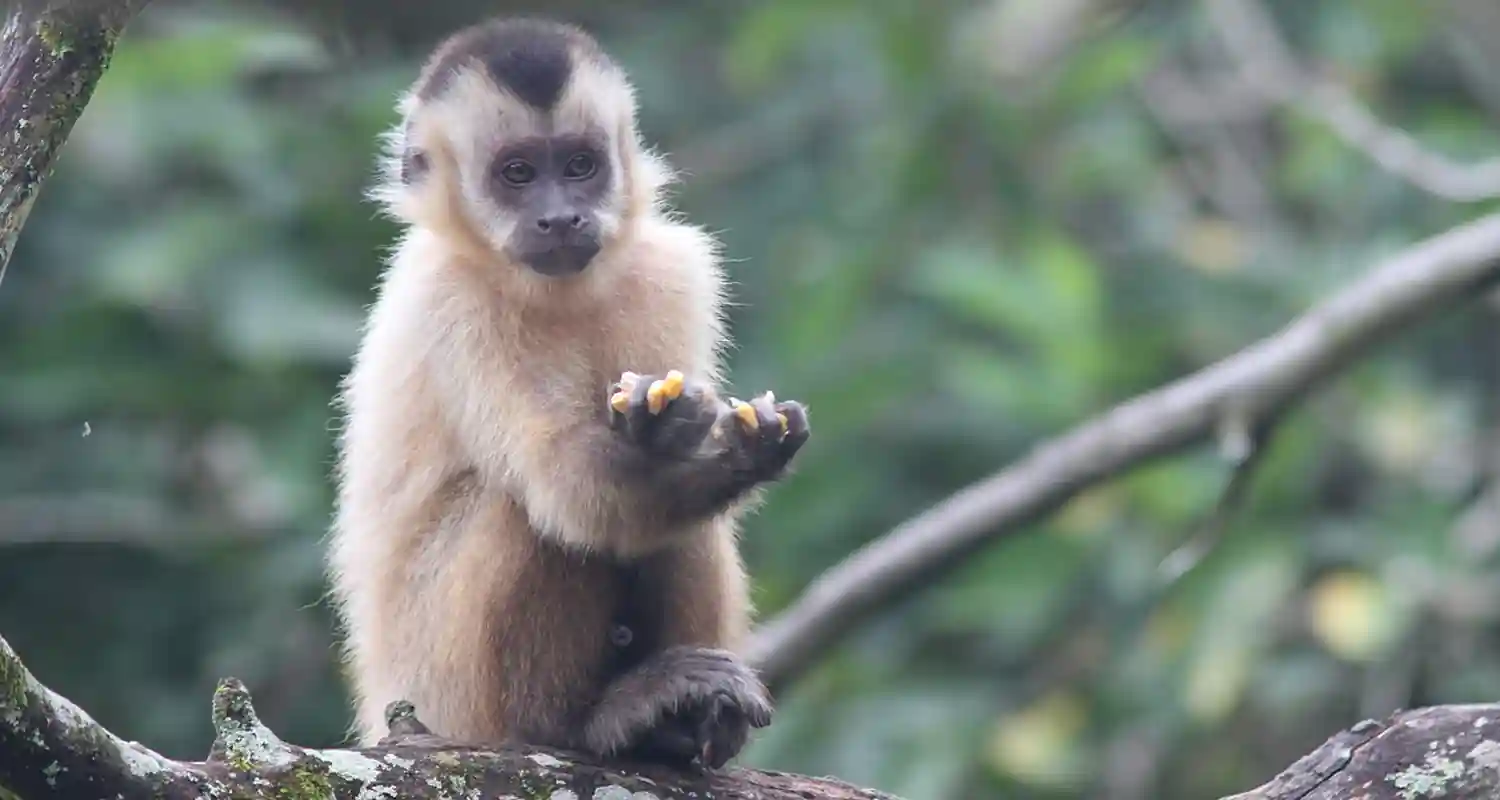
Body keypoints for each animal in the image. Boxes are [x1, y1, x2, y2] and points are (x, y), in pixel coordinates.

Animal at [327, 17, 810, 768]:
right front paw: (677, 442)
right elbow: (566, 488)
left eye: (580, 166)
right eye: (518, 174)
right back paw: (574, 726)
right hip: (442, 696)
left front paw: (729, 446)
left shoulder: (669, 270)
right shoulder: (456, 305)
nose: (560, 218)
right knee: (526, 510)